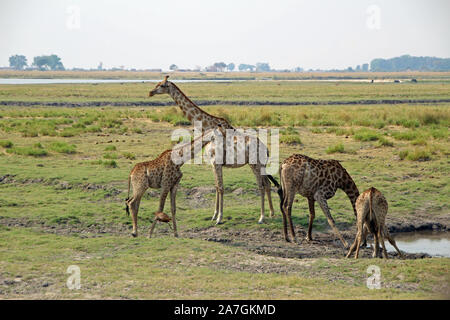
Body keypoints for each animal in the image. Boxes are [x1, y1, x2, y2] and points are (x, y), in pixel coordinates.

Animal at [149, 76, 280, 224]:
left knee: (261, 186)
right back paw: (271, 213)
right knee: (267, 184)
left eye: (161, 85)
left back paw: (261, 217)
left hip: (255, 164)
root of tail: (266, 149)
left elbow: (221, 188)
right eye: (157, 84)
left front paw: (219, 218)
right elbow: (217, 186)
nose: (150, 92)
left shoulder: (216, 162)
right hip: (260, 165)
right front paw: (214, 215)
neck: (206, 126)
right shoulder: (213, 163)